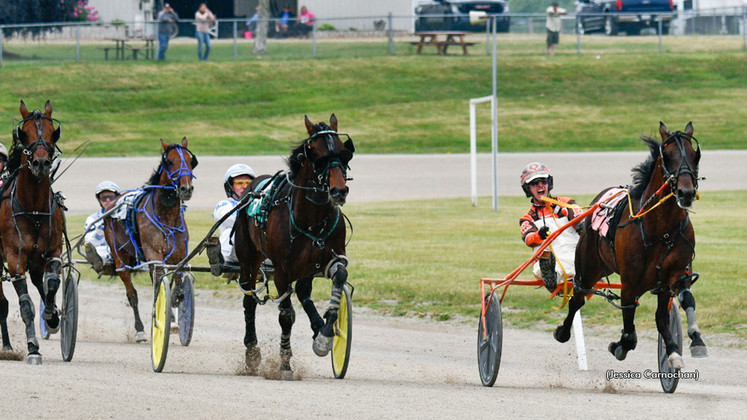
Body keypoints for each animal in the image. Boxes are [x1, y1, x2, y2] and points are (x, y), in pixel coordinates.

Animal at [103, 138, 196, 342]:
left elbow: (177, 290)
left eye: (190, 160)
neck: (166, 217)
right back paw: (140, 330)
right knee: (132, 294)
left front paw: (174, 314)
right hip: (120, 258)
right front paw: (165, 318)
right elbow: (157, 290)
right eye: (170, 161)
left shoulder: (178, 256)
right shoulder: (154, 256)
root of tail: (114, 202)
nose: (186, 189)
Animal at [235, 115, 356, 378]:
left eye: (344, 153)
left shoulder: (330, 258)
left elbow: (339, 278)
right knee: (249, 299)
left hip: (306, 268)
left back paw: (318, 327)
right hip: (249, 258)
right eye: (317, 154)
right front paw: (285, 364)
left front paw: (325, 335)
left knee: (302, 291)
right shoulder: (282, 271)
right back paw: (252, 352)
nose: (339, 191)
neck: (311, 218)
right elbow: (286, 316)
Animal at [556, 122, 700, 370]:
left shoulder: (672, 277)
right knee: (578, 298)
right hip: (588, 267)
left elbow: (671, 311)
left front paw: (682, 346)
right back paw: (563, 332)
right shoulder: (631, 280)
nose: (686, 192)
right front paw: (620, 346)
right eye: (668, 156)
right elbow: (630, 330)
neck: (660, 230)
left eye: (694, 154)